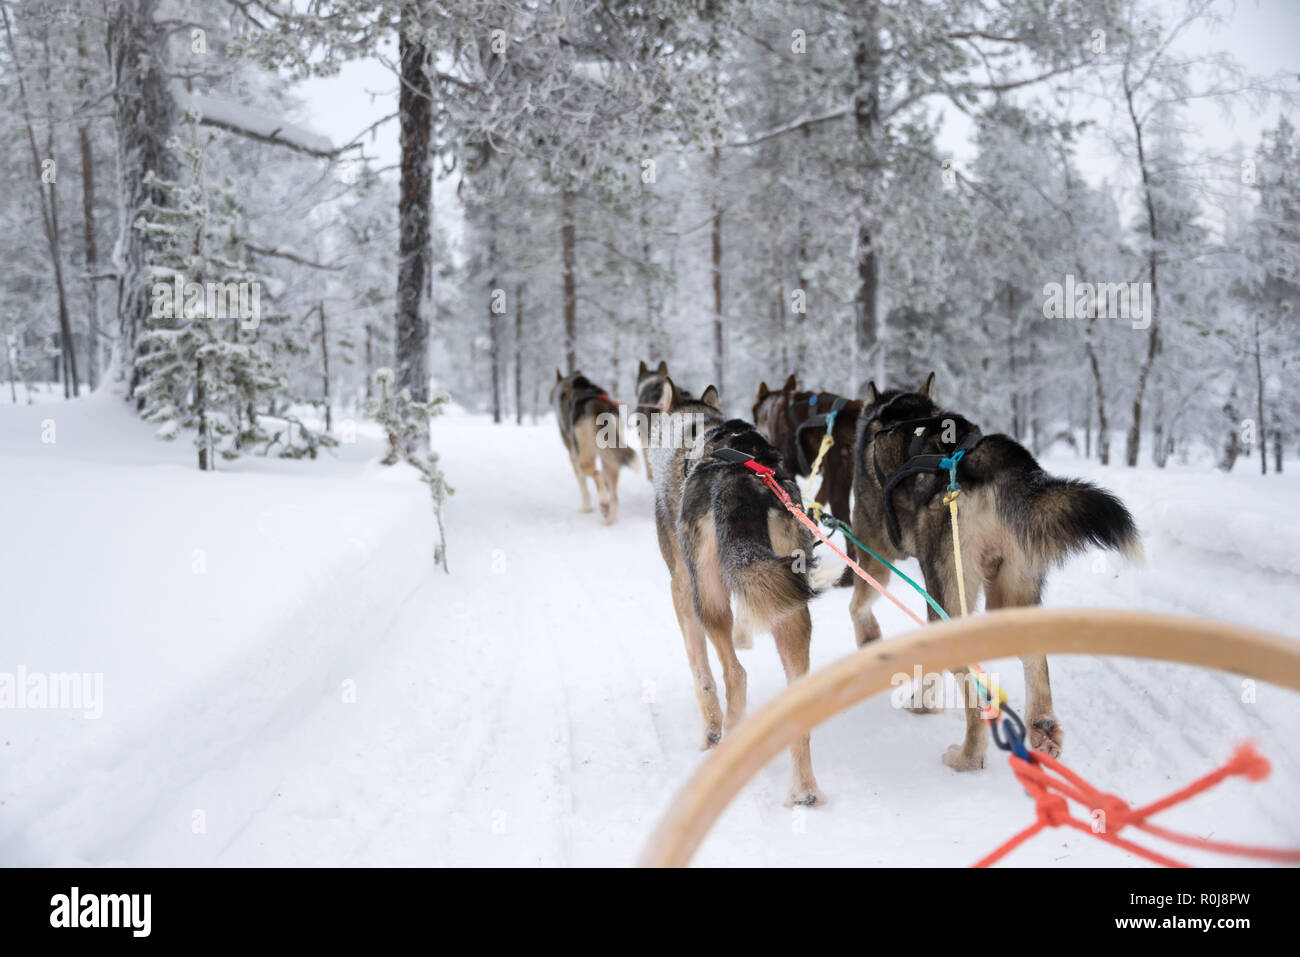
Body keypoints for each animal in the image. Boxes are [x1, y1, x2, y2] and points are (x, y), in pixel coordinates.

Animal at [548, 371, 634, 522]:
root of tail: (595, 401)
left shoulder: (573, 457)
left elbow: (582, 484)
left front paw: (585, 507)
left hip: (585, 456)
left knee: (596, 474)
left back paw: (604, 503)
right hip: (611, 455)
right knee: (613, 493)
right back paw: (609, 515)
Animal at [852, 371, 1138, 769]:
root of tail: (993, 462)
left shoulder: (873, 550)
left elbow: (858, 605)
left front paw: (871, 641)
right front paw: (923, 701)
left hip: (951, 595)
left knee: (973, 691)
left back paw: (968, 755)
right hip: (1010, 591)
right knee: (1034, 658)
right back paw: (1042, 727)